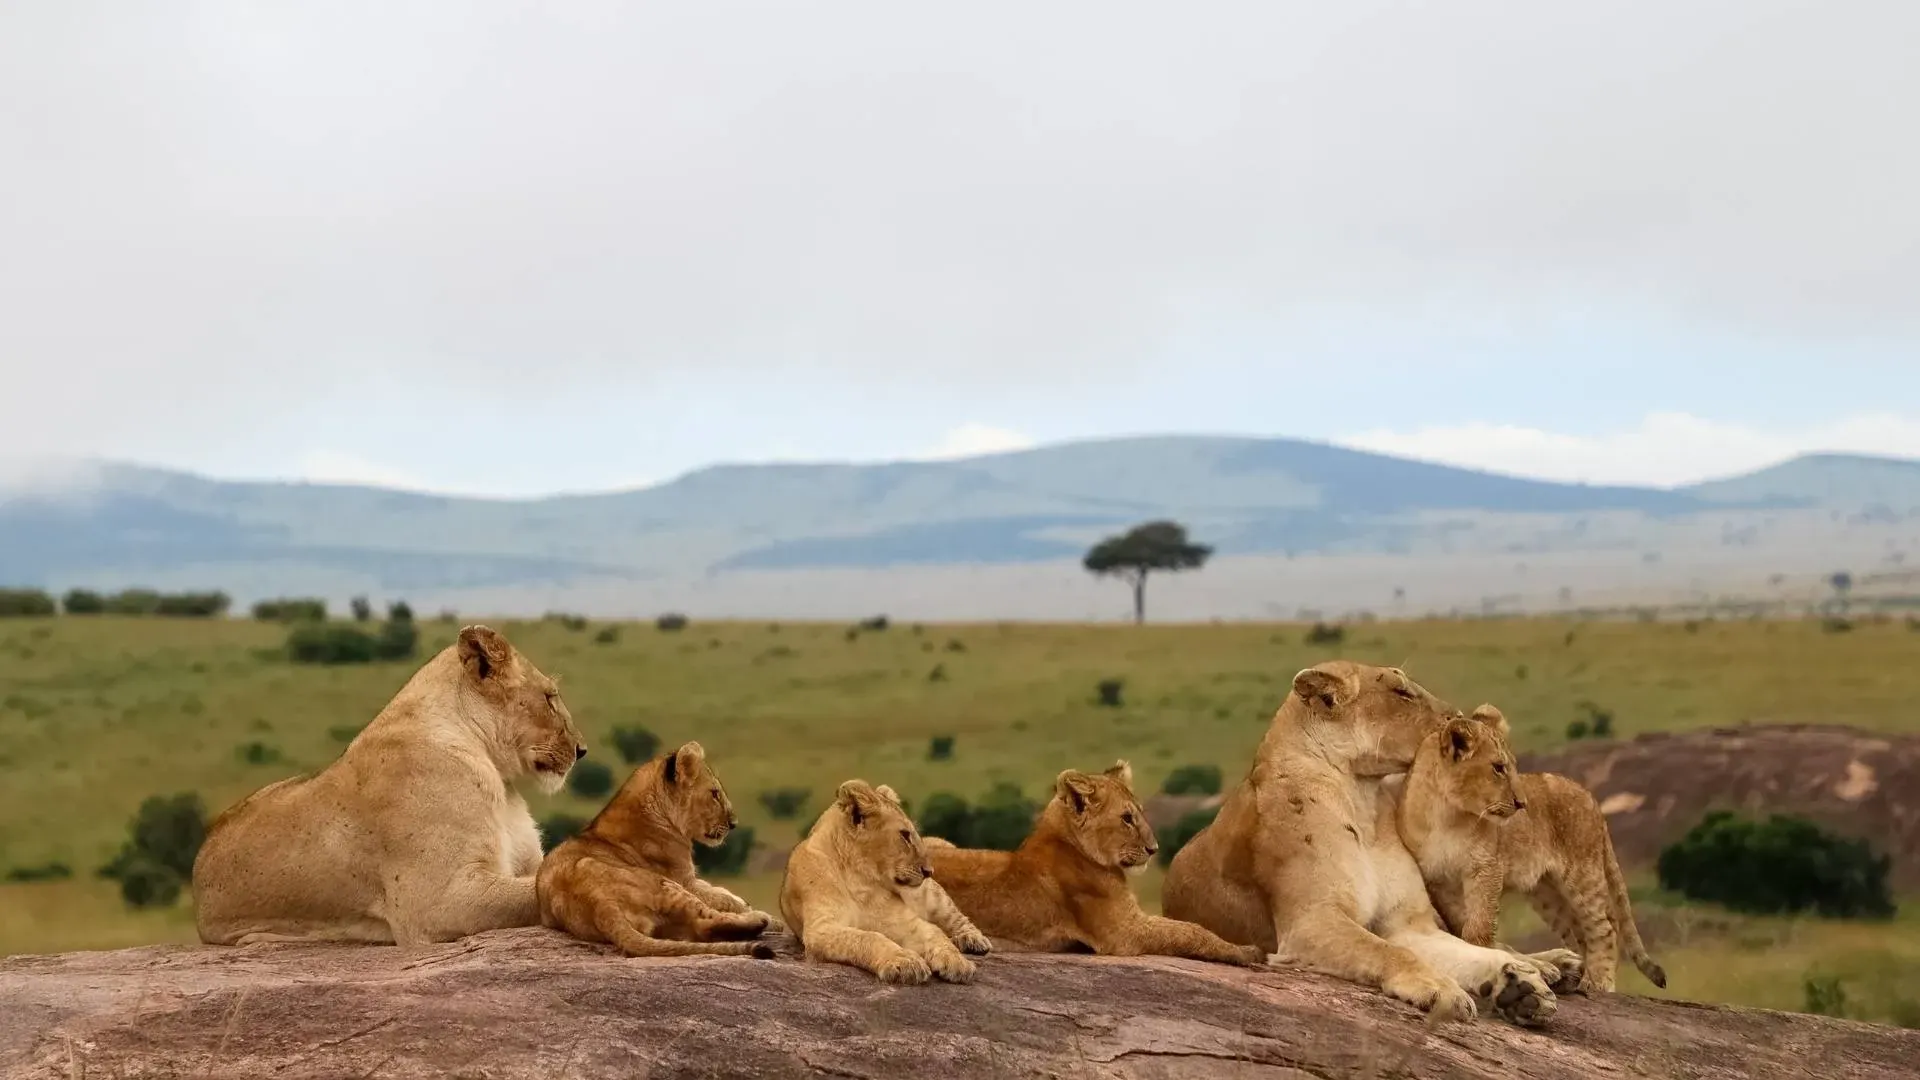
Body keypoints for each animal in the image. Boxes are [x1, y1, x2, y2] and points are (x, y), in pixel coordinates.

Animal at [538, 741, 781, 959]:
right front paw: (750, 908)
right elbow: (721, 898)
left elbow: (718, 890)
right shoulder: (685, 880)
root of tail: (599, 904)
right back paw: (763, 920)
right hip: (666, 885)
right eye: (714, 793)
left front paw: (742, 901)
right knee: (708, 919)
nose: (734, 824)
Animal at [779, 779, 993, 984]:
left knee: (954, 916)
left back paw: (972, 939)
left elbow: (934, 932)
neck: (860, 881)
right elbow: (869, 937)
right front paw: (906, 962)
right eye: (905, 835)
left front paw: (956, 961)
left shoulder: (903, 920)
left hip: (932, 896)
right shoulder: (821, 929)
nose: (929, 871)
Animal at [922, 760, 1265, 967]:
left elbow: (1190, 928)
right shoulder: (1125, 933)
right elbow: (1191, 931)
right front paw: (1247, 951)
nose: (1154, 849)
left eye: (1140, 813)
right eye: (1127, 818)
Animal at [1161, 660, 1581, 1026]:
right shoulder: (1310, 922)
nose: (1461, 718)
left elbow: (1462, 951)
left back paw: (1548, 968)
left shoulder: (1409, 923)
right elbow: (1387, 950)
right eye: (1401, 691)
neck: (1361, 797)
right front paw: (1440, 987)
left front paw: (1519, 984)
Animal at [1396, 705, 1667, 994]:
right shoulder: (1437, 880)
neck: (1447, 815)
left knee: (1605, 926)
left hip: (1583, 876)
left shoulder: (1487, 869)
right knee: (1579, 932)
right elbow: (1459, 923)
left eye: (1513, 767)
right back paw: (1577, 973)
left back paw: (1600, 982)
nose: (1522, 803)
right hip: (1547, 893)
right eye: (1498, 768)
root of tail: (1590, 796)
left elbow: (1479, 926)